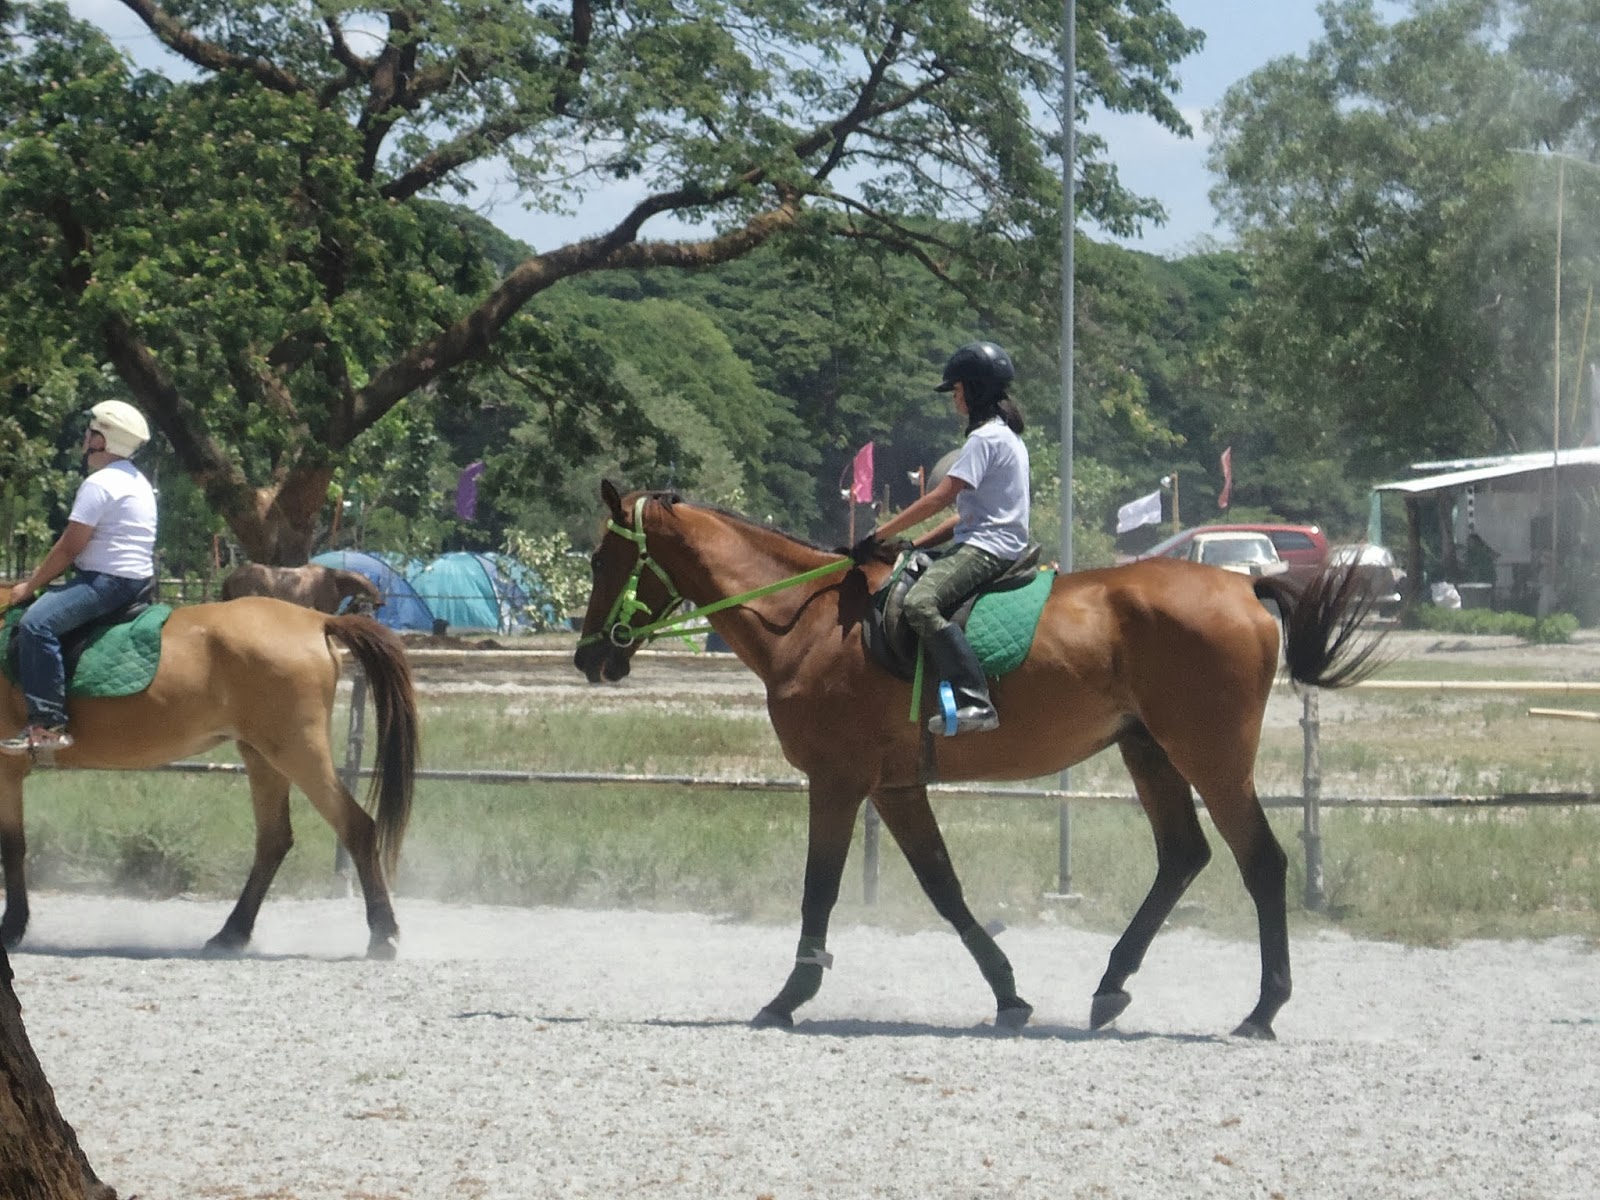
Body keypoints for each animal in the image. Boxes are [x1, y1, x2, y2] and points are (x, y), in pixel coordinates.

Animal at [1, 597, 419, 958]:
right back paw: (230, 935)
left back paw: (383, 936)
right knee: (274, 841)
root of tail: (317, 619)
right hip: (262, 758)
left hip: (298, 753)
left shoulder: (6, 772)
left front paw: (11, 929)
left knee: (355, 827)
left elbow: (13, 846)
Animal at [574, 481, 1386, 1038]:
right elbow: (944, 889)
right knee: (1183, 855)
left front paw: (788, 998)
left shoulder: (837, 781)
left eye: (602, 556)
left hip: (1209, 755)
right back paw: (1111, 986)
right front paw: (1009, 996)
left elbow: (819, 891)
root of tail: (1244, 584)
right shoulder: (896, 787)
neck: (806, 622)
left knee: (1261, 862)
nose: (589, 658)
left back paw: (1262, 1009)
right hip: (1148, 749)